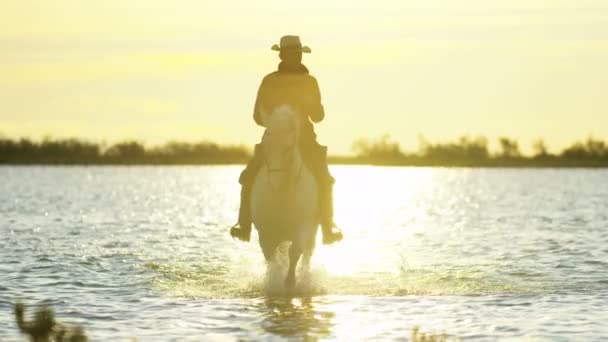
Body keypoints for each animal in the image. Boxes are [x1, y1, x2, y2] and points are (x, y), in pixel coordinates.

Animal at [251, 104, 320, 288]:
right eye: (265, 146)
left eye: (289, 147)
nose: (275, 183)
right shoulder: (265, 232)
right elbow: (271, 256)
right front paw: (274, 280)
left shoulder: (302, 228)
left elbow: (295, 252)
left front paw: (290, 281)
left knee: (307, 253)